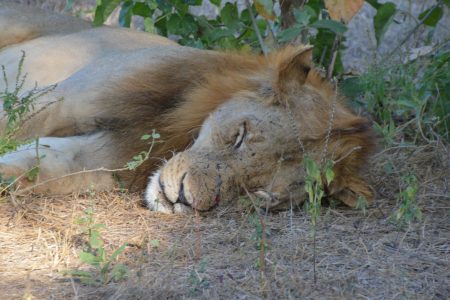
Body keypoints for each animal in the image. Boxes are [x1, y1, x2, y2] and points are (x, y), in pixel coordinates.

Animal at [0, 2, 374, 213]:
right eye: (239, 136)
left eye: (260, 192)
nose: (183, 198)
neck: (174, 125)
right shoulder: (57, 102)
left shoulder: (102, 158)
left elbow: (32, 168)